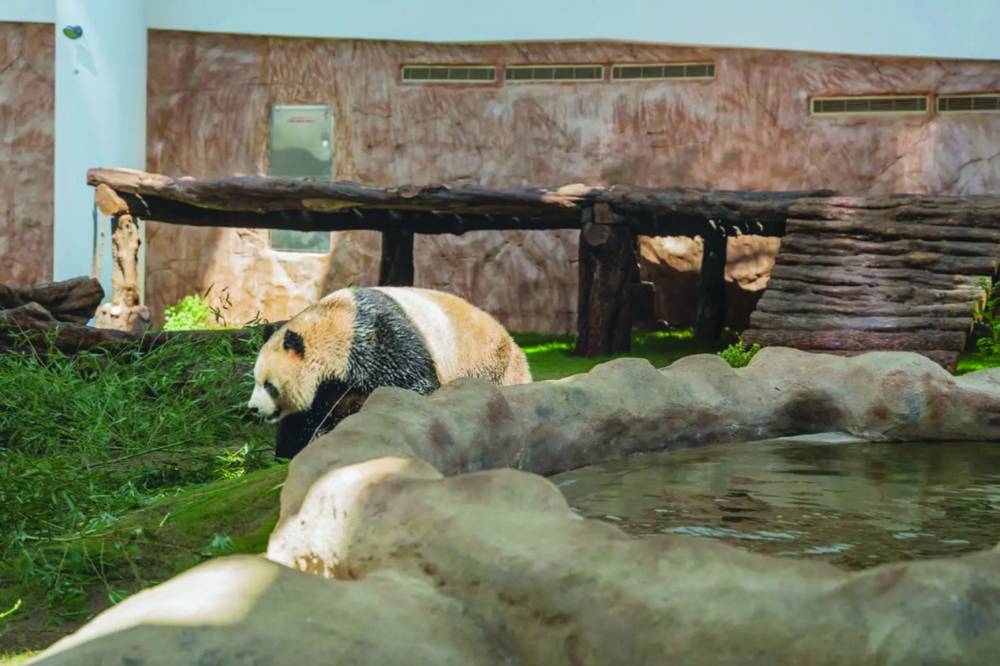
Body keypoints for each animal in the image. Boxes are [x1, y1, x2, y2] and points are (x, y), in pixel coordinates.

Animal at [247, 286, 532, 459]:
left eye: (269, 385)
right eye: (256, 381)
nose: (253, 408)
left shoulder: (377, 340)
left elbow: (411, 382)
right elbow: (306, 417)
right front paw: (291, 449)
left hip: (491, 364)